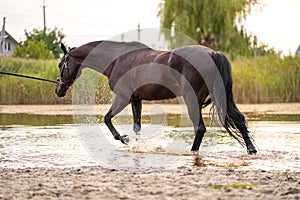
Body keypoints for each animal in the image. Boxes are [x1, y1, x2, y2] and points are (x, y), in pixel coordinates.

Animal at [56, 40, 258, 155]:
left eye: (60, 64)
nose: (58, 89)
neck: (117, 60)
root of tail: (212, 53)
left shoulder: (123, 98)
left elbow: (107, 119)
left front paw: (125, 139)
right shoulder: (135, 99)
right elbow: (136, 126)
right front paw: (135, 144)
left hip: (192, 100)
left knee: (200, 128)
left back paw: (191, 151)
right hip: (221, 98)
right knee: (238, 119)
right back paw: (251, 149)